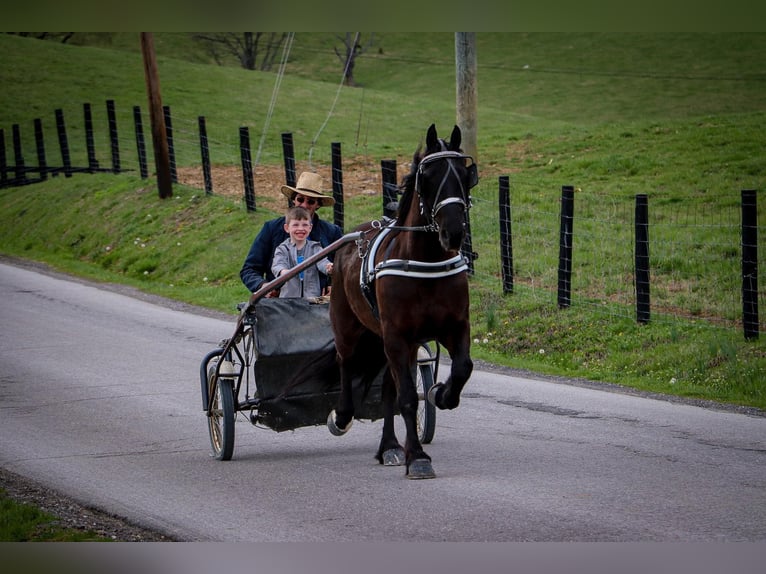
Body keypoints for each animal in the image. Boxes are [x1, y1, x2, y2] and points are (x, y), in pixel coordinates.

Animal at [328, 124, 476, 480]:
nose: (454, 232)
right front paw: (418, 457)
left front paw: (441, 393)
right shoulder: (396, 335)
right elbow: (408, 398)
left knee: (387, 389)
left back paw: (390, 447)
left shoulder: (454, 327)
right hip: (349, 325)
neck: (424, 261)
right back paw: (343, 415)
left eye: (465, 175)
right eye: (428, 177)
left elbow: (462, 367)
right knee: (345, 361)